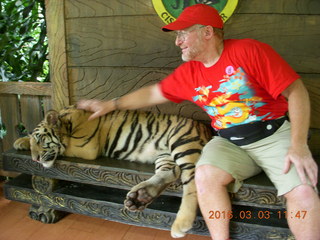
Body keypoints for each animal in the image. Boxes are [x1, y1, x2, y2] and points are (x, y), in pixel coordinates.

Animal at [13, 107, 212, 238]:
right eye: (35, 140)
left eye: (41, 139)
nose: (35, 159)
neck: (69, 124)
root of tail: (206, 128)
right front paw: (21, 141)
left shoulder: (88, 148)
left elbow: (64, 147)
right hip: (166, 156)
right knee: (169, 172)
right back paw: (140, 197)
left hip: (184, 143)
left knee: (193, 183)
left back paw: (181, 224)